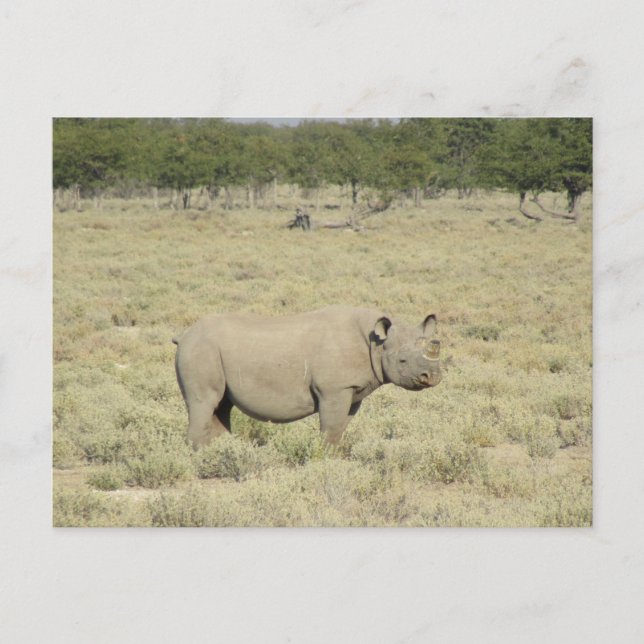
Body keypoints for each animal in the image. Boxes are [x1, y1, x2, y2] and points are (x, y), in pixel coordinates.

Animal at [173, 305, 442, 447]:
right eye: (402, 361)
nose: (433, 377)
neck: (376, 343)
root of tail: (184, 335)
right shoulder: (335, 389)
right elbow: (331, 426)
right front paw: (324, 456)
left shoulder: (353, 391)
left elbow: (340, 426)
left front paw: (334, 454)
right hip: (199, 349)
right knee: (204, 402)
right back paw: (199, 456)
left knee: (221, 405)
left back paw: (219, 451)